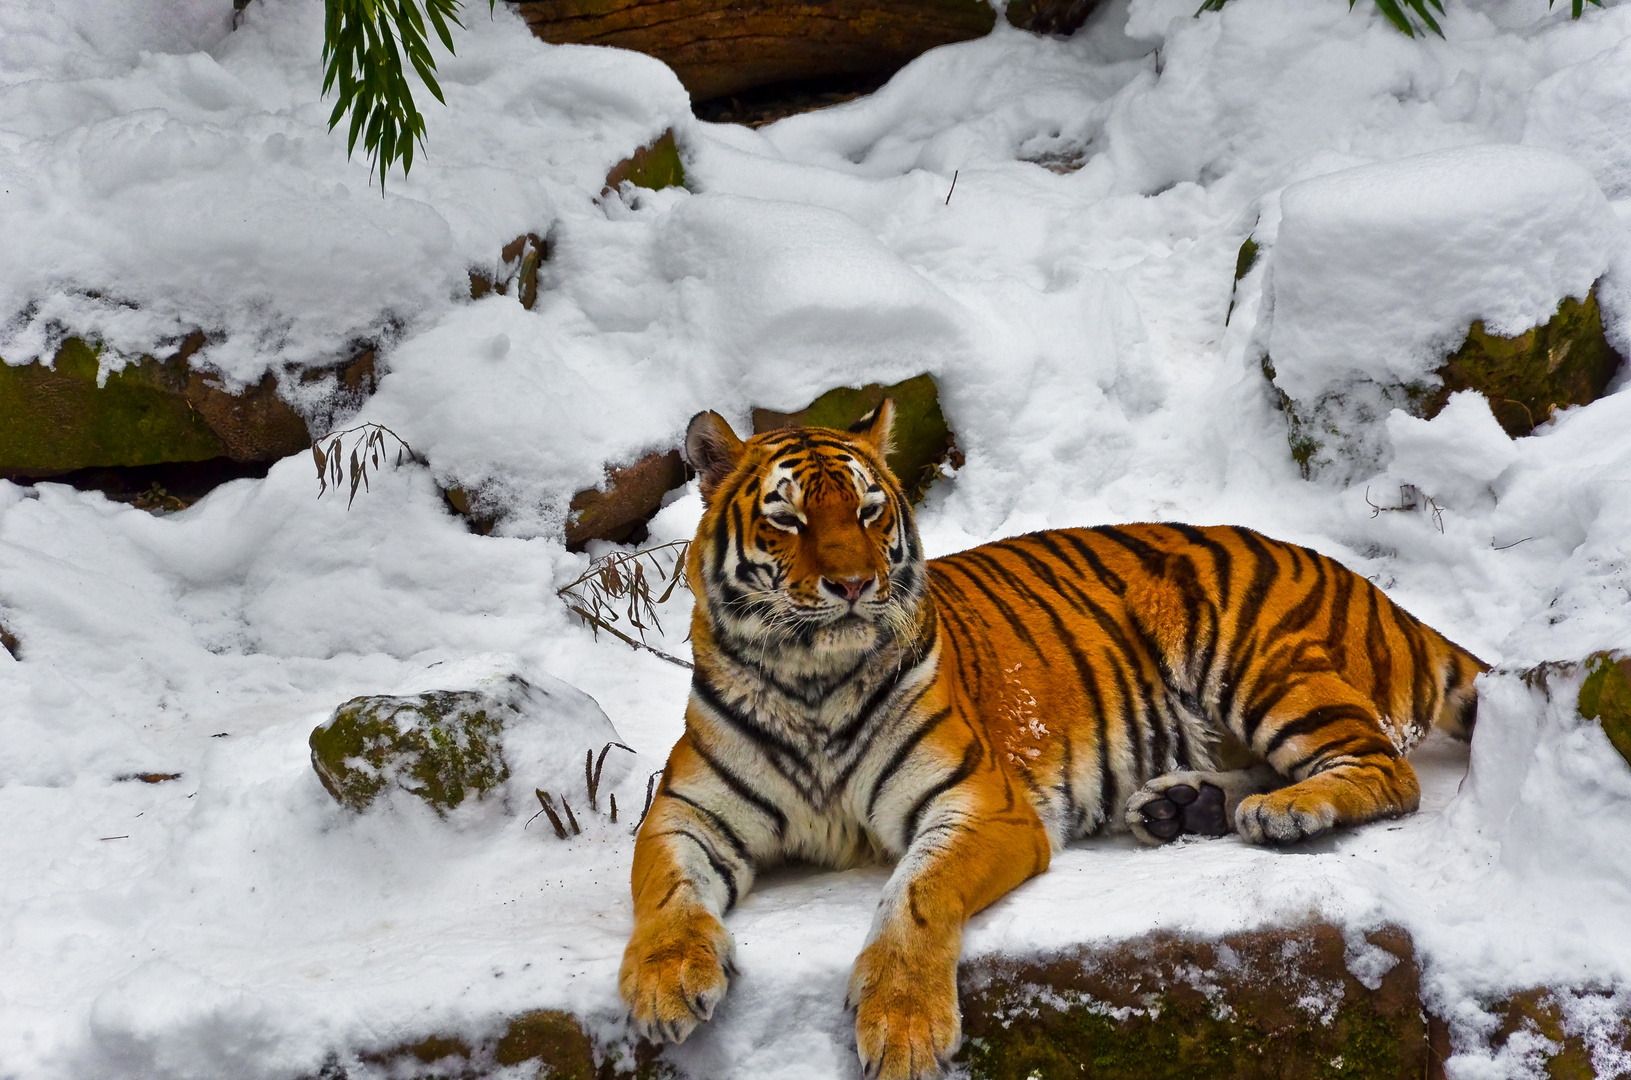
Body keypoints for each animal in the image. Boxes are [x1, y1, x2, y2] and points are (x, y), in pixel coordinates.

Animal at [616, 401, 1487, 1076]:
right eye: (786, 518)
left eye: (867, 511)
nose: (856, 585)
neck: (811, 683)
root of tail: (1368, 588)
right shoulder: (686, 813)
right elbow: (664, 891)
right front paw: (663, 981)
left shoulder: (979, 806)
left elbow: (915, 898)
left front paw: (902, 1026)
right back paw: (1184, 806)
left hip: (1252, 653)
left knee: (1386, 769)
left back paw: (1283, 811)